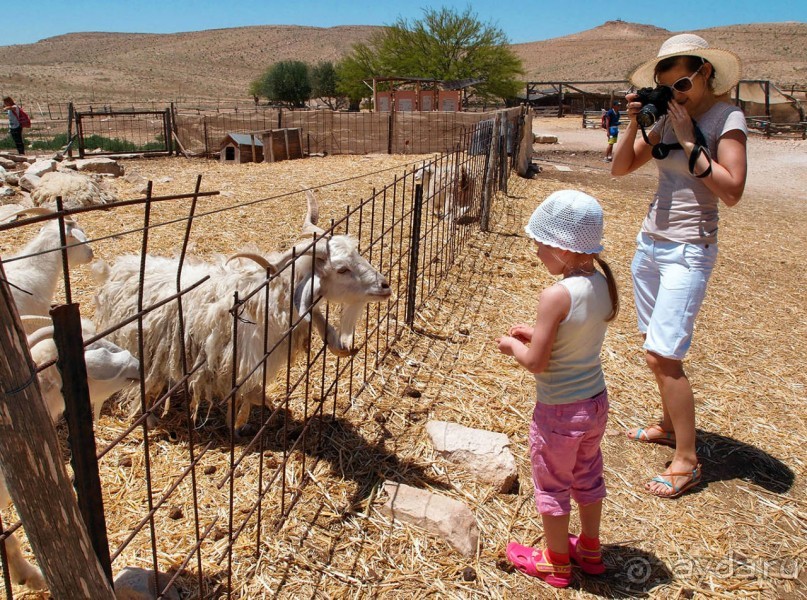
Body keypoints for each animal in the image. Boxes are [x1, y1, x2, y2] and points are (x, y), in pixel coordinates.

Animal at [91, 192, 392, 432]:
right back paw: (150, 419)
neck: (266, 300)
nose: (385, 286)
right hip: (139, 348)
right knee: (140, 384)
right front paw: (241, 420)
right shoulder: (240, 360)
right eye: (342, 269)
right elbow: (244, 394)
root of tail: (117, 269)